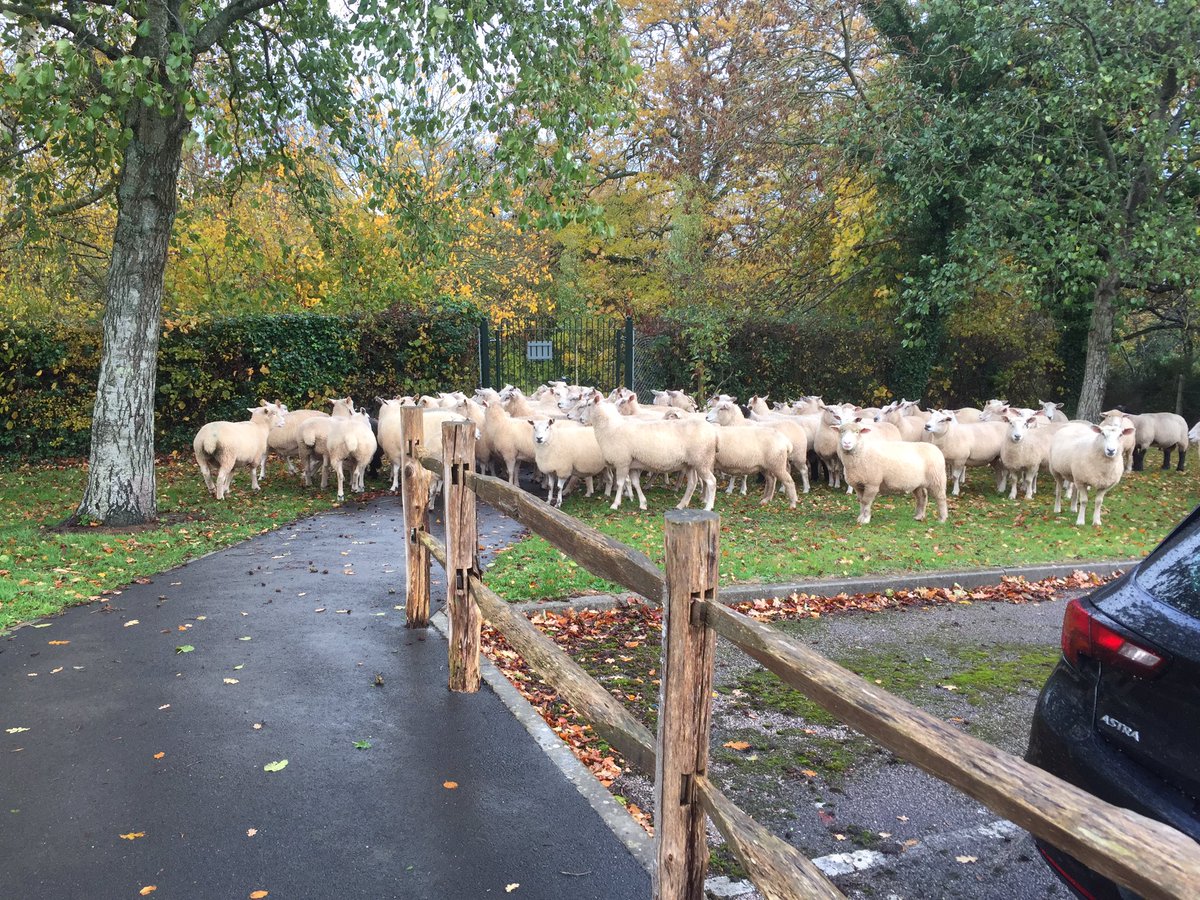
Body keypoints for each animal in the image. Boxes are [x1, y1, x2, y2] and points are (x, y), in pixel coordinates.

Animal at [575, 394, 718, 511]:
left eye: (589, 405)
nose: (581, 419)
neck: (610, 427)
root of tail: (714, 432)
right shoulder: (632, 464)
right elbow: (635, 483)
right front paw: (642, 503)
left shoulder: (622, 461)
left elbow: (620, 483)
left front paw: (615, 504)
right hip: (690, 463)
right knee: (692, 483)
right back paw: (681, 505)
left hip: (702, 460)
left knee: (711, 482)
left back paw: (708, 507)